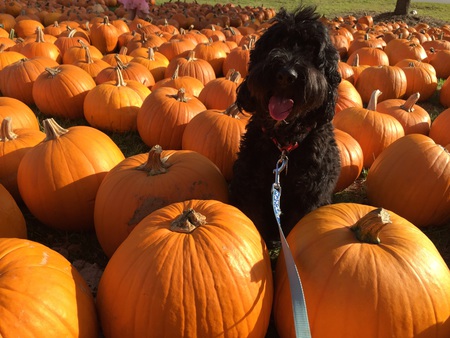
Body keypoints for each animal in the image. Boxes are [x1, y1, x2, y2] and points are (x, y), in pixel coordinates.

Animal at [229, 5, 342, 246]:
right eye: (278, 42)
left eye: (311, 50)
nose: (285, 75)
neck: (283, 144)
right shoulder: (249, 189)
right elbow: (253, 223)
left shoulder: (309, 197)